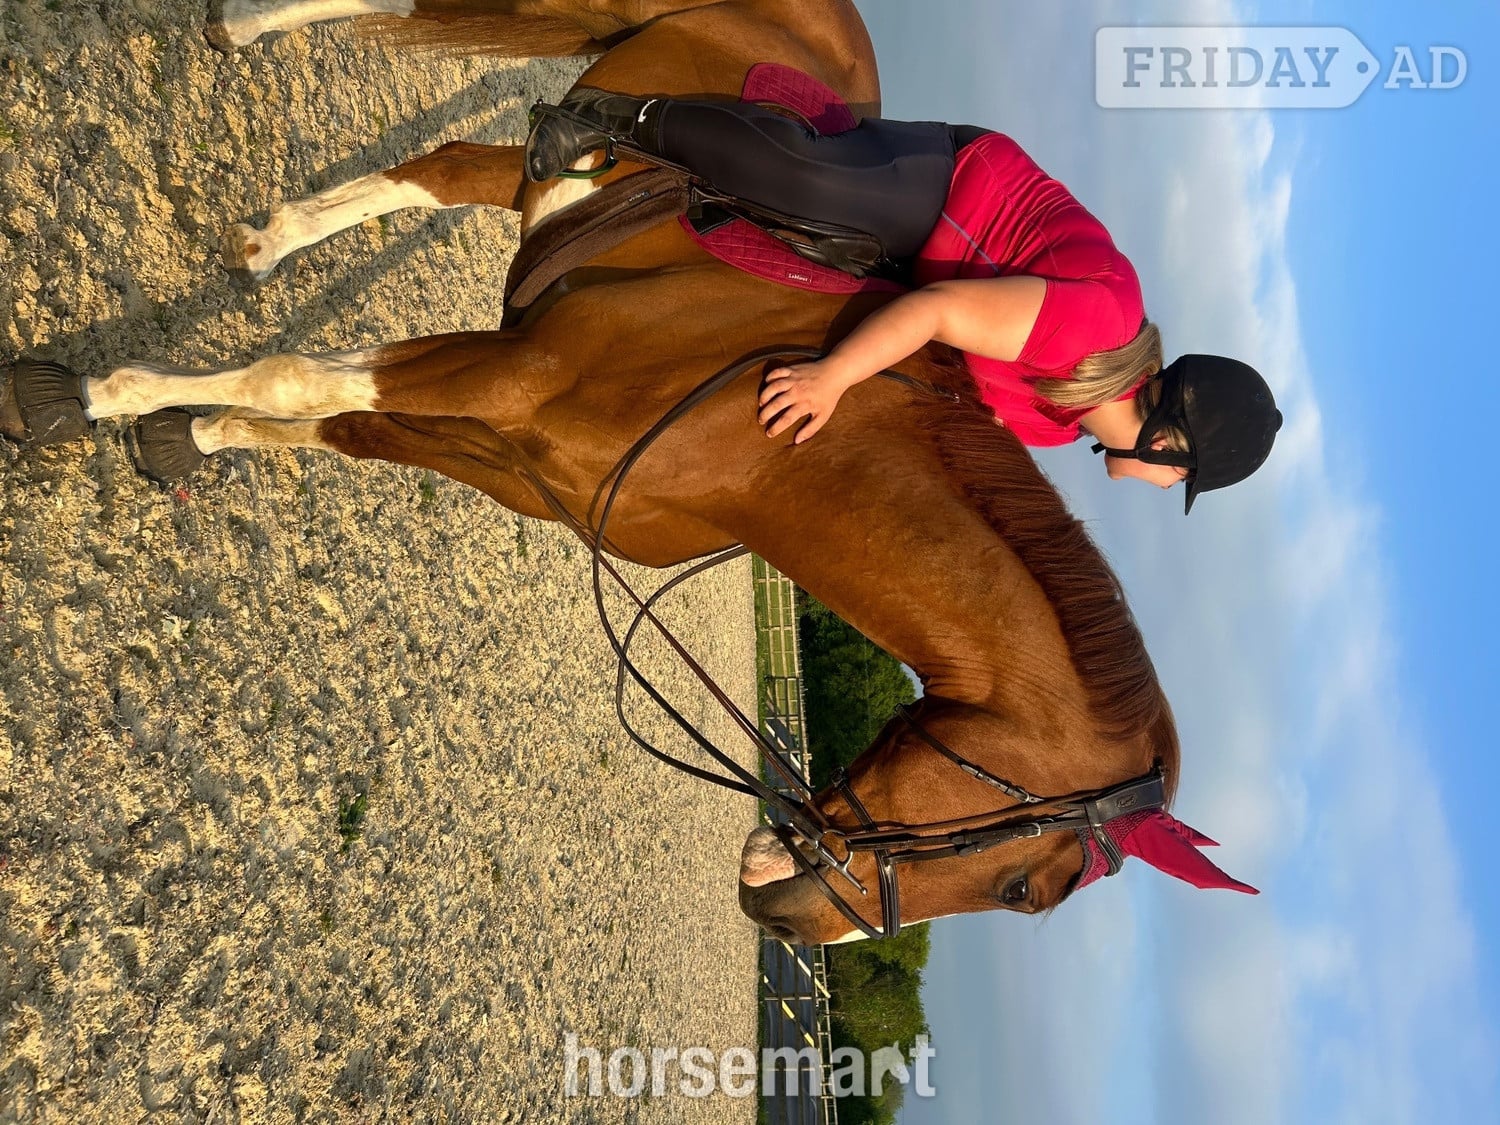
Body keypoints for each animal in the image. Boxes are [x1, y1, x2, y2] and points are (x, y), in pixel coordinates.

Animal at [1, 0, 1241, 945]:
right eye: (1025, 887)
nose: (791, 924)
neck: (767, 446)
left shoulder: (509, 447)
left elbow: (321, 416)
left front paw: (184, 435)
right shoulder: (511, 379)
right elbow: (295, 376)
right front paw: (84, 395)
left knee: (443, 167)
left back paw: (274, 226)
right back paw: (248, 29)